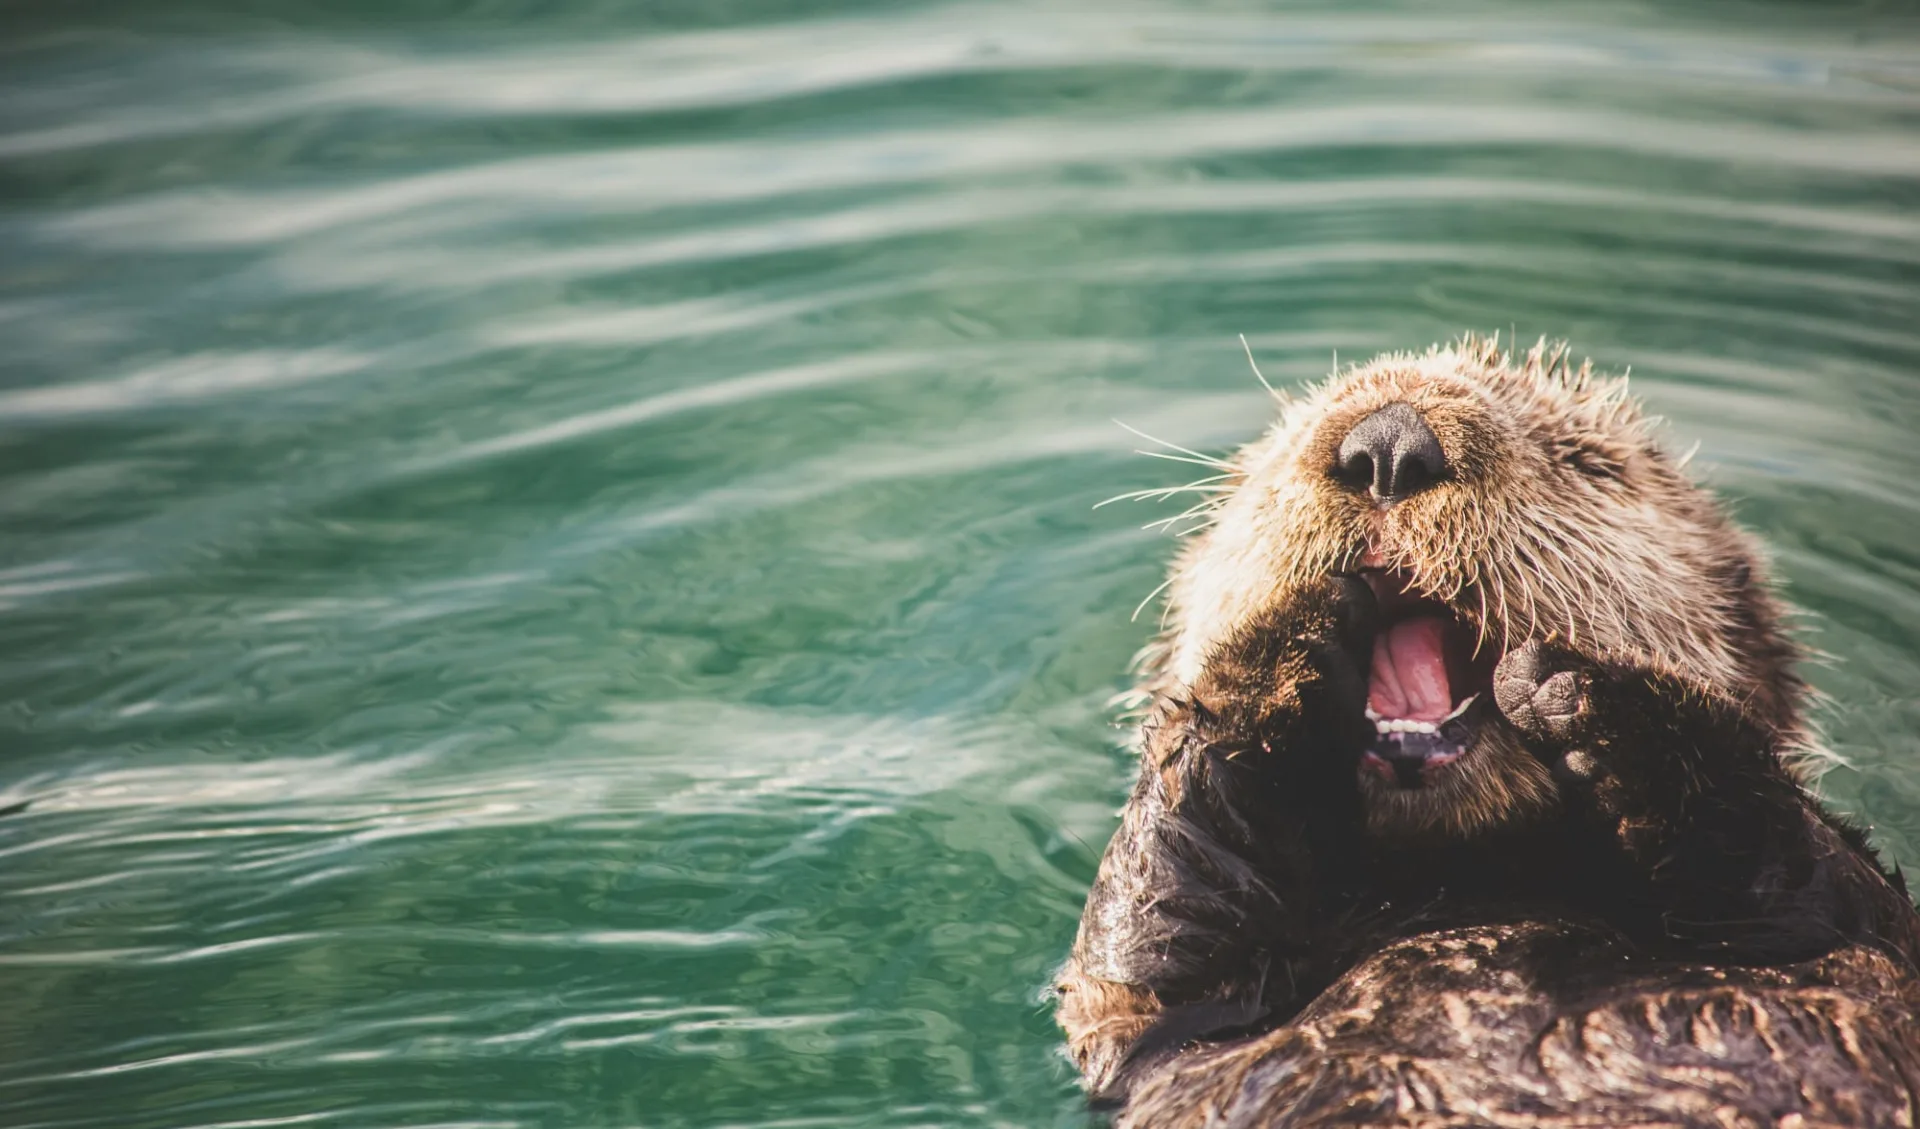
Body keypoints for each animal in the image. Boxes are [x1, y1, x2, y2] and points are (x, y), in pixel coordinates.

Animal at [1056, 337, 1920, 1127]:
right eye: (1270, 452)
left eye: (1589, 462)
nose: (1389, 442)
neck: (1467, 889)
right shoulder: (1151, 1013)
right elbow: (1150, 933)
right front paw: (1282, 648)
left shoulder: (1864, 925)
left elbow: (1808, 871)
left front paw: (1586, 694)